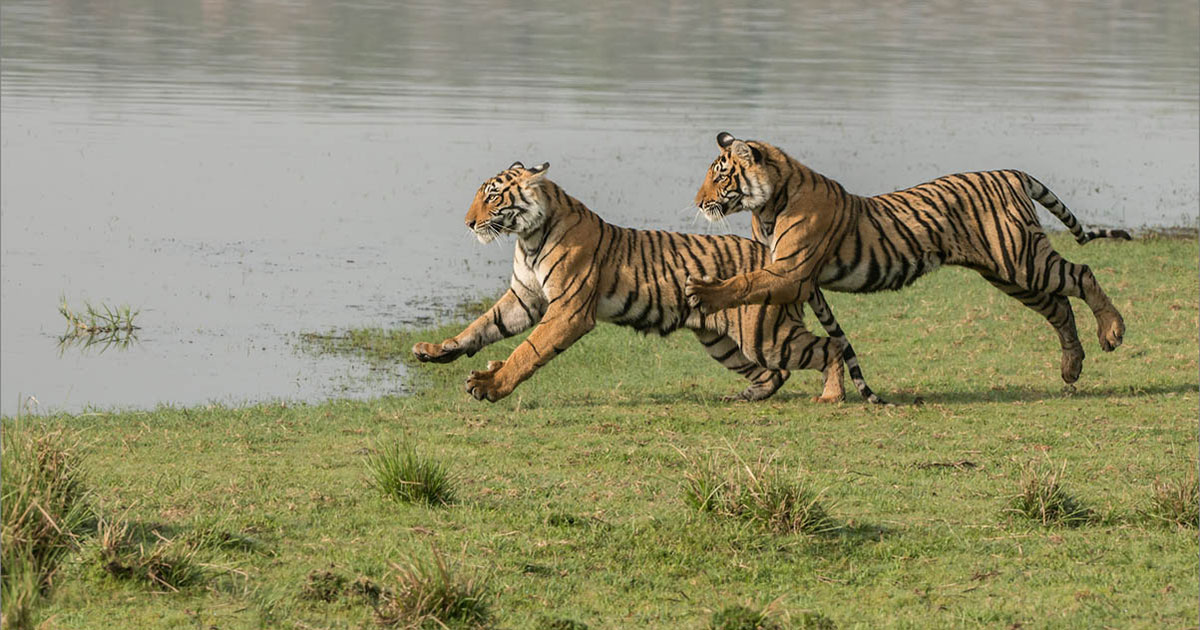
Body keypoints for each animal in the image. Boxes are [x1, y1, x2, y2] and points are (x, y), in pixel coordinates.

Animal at [410, 161, 863, 404]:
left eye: (491, 196)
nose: (468, 223)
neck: (528, 235)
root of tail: (783, 262)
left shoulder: (567, 309)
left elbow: (528, 350)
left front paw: (490, 384)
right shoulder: (524, 297)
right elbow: (481, 326)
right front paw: (437, 350)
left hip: (764, 333)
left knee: (828, 347)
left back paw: (832, 396)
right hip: (722, 340)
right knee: (775, 372)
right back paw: (748, 397)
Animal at [685, 132, 1131, 390]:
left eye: (721, 175)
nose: (698, 203)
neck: (766, 204)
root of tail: (1010, 172)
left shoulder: (792, 272)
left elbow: (743, 282)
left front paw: (703, 291)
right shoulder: (794, 276)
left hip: (1023, 259)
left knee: (1082, 274)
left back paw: (1112, 331)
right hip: (1009, 274)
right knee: (1059, 306)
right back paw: (1071, 366)